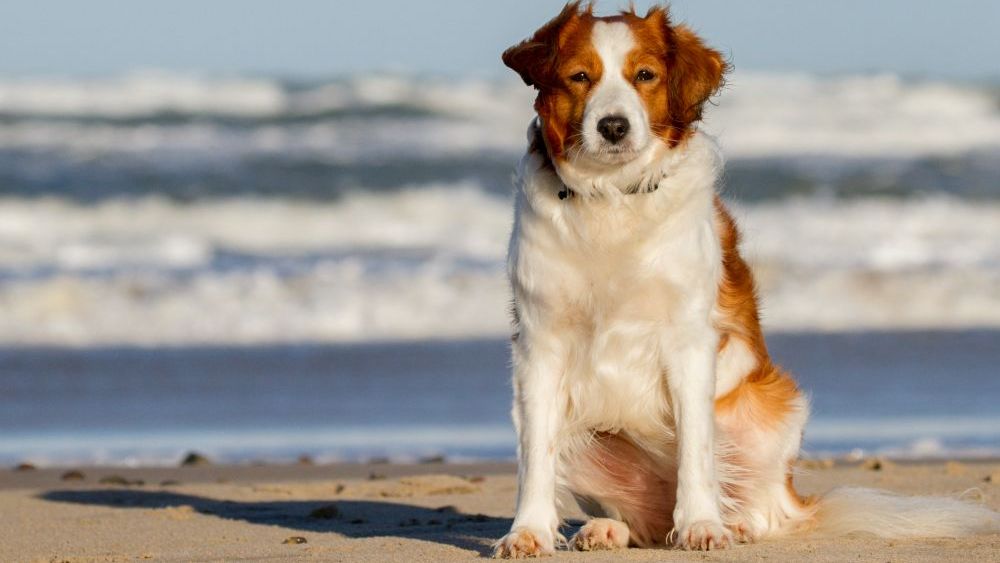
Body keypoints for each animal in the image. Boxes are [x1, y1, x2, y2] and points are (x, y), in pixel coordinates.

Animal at [494, 2, 1000, 556]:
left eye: (644, 76)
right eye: (579, 77)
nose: (613, 126)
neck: (612, 199)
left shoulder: (689, 342)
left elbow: (696, 450)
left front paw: (702, 525)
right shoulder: (541, 344)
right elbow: (536, 457)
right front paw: (528, 531)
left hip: (770, 411)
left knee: (758, 507)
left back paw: (734, 524)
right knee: (643, 524)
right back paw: (610, 528)